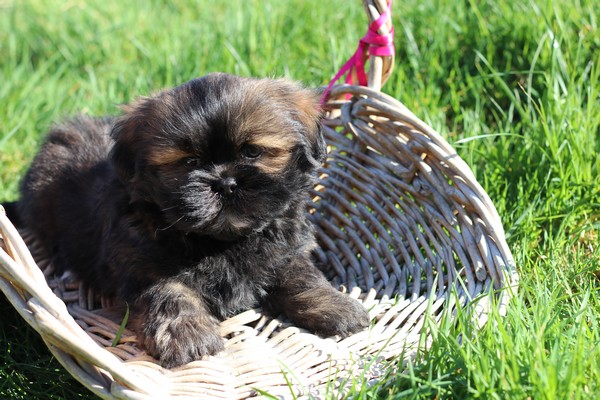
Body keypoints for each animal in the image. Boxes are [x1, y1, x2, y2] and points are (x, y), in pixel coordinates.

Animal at [12, 73, 369, 367]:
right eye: (190, 162)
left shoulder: (285, 246)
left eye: (252, 152)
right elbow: (170, 293)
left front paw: (335, 306)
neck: (222, 240)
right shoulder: (143, 261)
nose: (226, 182)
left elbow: (300, 274)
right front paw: (188, 335)